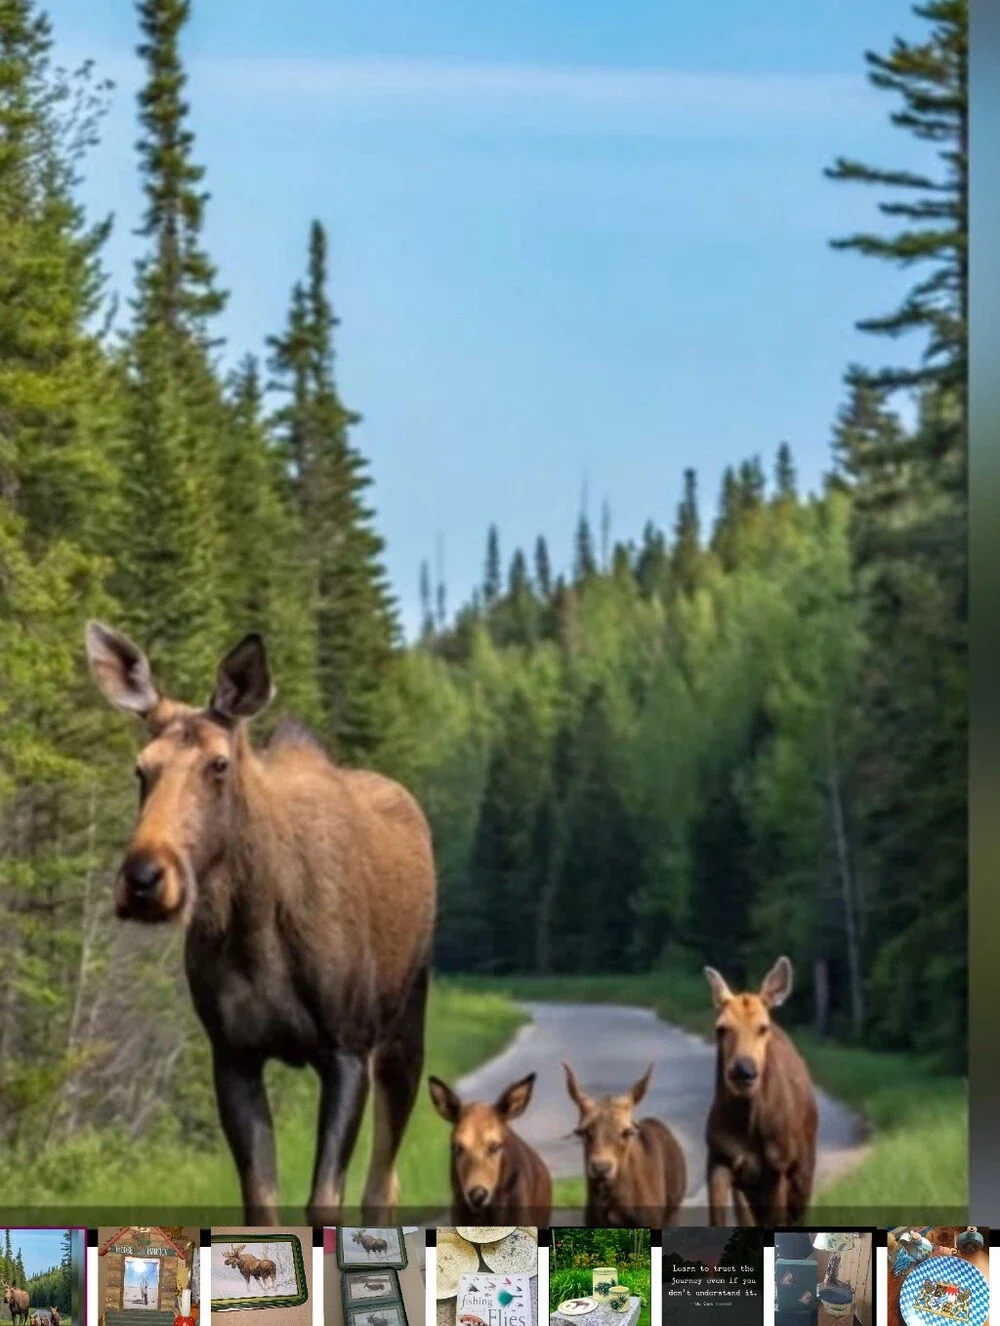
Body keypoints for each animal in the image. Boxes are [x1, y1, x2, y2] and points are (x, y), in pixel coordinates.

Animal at [85, 623, 437, 1225]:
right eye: (141, 768)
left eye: (219, 764)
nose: (144, 879)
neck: (255, 931)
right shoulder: (234, 1055)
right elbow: (262, 1208)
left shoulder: (345, 1049)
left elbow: (325, 1205)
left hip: (404, 1025)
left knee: (381, 1186)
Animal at [703, 956, 817, 1226]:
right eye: (721, 1028)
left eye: (763, 1027)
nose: (743, 1070)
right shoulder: (718, 1158)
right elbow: (717, 1220)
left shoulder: (778, 1166)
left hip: (803, 1167)